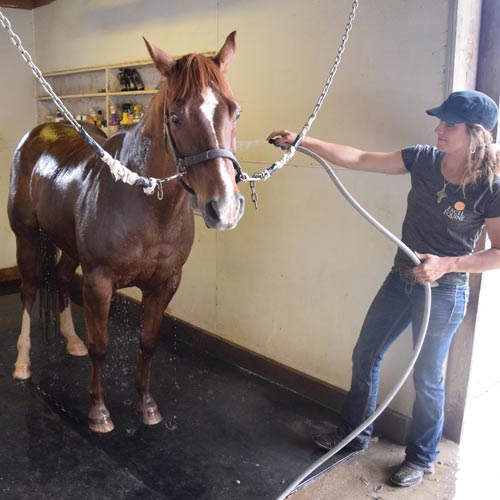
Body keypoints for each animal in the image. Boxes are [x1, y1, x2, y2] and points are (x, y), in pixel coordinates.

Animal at [6, 31, 244, 432]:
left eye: (235, 110)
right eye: (176, 116)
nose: (224, 208)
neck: (146, 206)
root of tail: (36, 134)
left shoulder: (165, 283)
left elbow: (147, 342)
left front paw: (147, 405)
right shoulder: (99, 282)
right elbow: (102, 345)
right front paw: (99, 412)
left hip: (68, 247)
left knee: (61, 277)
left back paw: (72, 340)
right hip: (27, 240)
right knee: (29, 290)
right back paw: (22, 363)